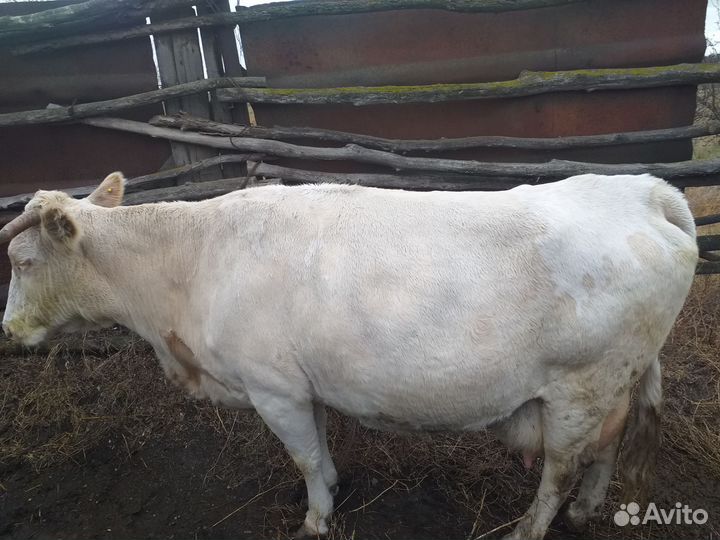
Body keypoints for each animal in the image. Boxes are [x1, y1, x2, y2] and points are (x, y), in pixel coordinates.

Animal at [1, 172, 697, 539]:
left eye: (23, 261)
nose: (7, 329)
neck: (192, 263)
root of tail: (641, 189)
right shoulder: (301, 383)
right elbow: (321, 443)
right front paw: (333, 487)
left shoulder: (271, 385)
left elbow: (303, 455)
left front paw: (316, 518)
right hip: (614, 380)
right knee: (605, 447)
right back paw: (585, 509)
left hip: (581, 386)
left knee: (560, 466)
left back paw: (532, 526)